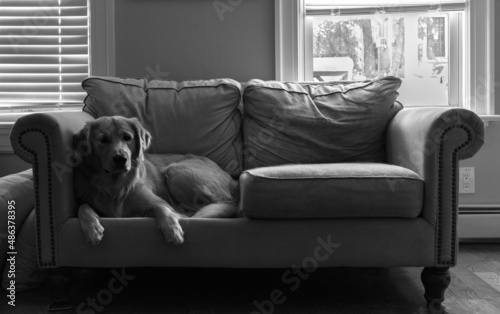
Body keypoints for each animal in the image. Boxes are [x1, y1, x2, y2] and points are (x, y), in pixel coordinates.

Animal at [72, 115, 240, 245]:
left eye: (127, 138)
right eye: (103, 139)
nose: (121, 159)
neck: (115, 184)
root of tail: (233, 181)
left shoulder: (159, 202)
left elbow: (162, 209)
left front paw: (172, 229)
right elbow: (83, 207)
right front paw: (92, 229)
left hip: (175, 171)